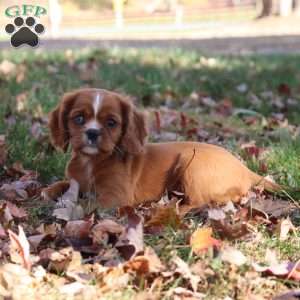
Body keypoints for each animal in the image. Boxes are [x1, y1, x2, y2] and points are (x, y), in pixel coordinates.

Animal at [42, 88, 282, 214]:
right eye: (78, 118)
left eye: (111, 123)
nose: (92, 133)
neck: (91, 161)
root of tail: (244, 168)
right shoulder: (76, 180)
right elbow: (60, 186)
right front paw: (49, 191)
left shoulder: (115, 197)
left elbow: (86, 202)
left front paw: (66, 204)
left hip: (191, 165)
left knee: (198, 202)